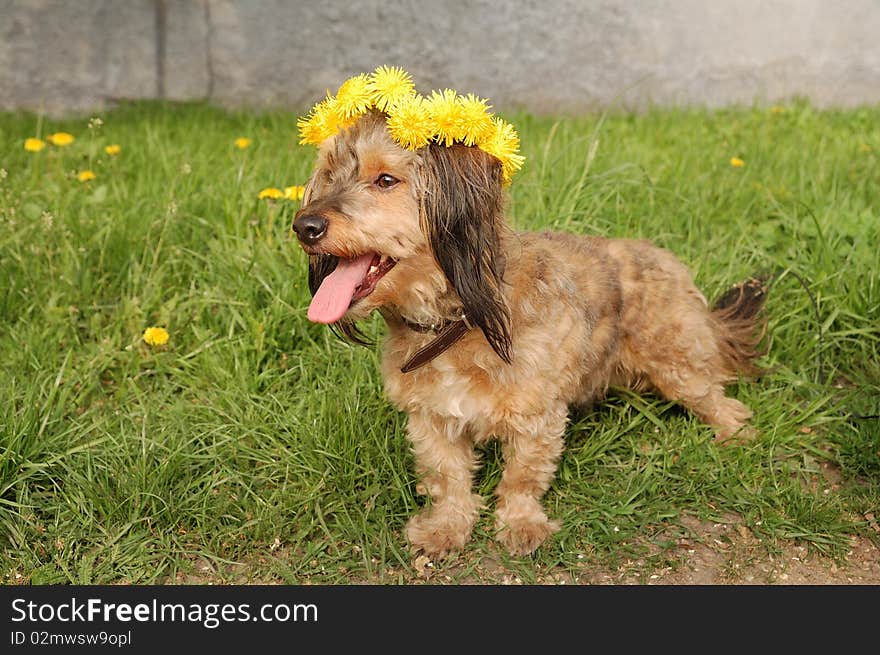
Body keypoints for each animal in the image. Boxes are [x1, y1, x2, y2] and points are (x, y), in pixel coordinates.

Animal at [292, 109, 768, 560]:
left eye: (385, 179)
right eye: (330, 174)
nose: (305, 226)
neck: (461, 319)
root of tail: (669, 260)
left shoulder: (537, 417)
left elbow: (521, 477)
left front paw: (520, 524)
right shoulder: (431, 418)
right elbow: (448, 478)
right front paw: (446, 527)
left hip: (678, 365)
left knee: (720, 400)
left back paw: (735, 433)